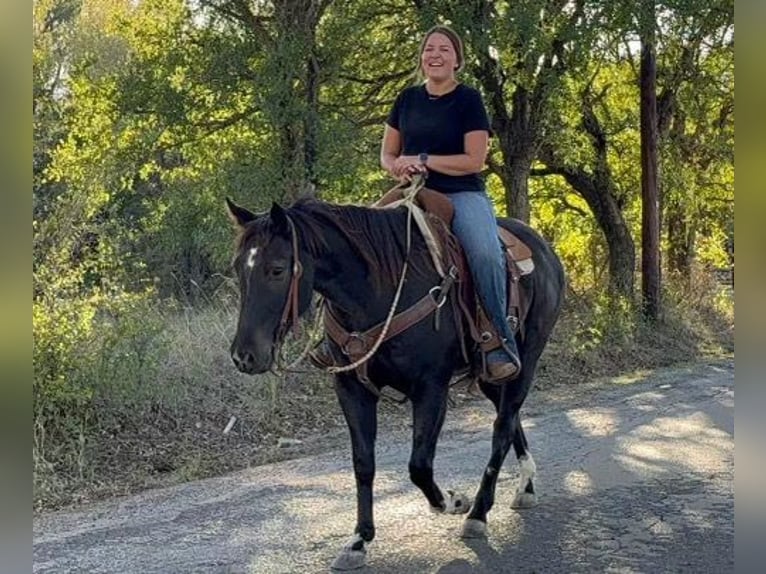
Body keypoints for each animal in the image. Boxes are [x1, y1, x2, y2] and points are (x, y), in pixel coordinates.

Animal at [225, 197, 568, 572]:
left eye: (276, 269)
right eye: (239, 269)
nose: (244, 356)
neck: (377, 291)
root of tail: (542, 247)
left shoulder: (431, 388)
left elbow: (419, 465)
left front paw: (452, 501)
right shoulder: (351, 389)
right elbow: (363, 463)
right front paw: (358, 541)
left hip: (526, 360)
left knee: (502, 427)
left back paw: (478, 514)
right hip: (491, 375)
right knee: (510, 419)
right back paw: (526, 487)